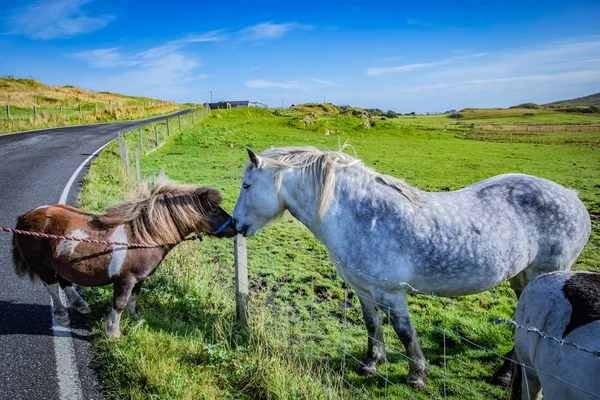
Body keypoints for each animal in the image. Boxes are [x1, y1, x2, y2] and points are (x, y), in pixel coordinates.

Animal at [11, 178, 237, 338]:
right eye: (214, 209)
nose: (236, 226)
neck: (144, 237)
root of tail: (24, 218)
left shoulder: (139, 279)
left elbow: (133, 300)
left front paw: (135, 319)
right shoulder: (126, 279)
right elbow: (119, 303)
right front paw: (113, 332)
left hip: (59, 263)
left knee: (65, 281)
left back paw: (81, 305)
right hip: (41, 267)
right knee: (52, 287)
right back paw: (62, 314)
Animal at [231, 147, 592, 388]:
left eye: (247, 185)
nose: (234, 225)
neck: (358, 215)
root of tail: (573, 198)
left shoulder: (391, 292)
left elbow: (404, 332)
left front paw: (416, 374)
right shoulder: (363, 289)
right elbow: (372, 325)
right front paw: (372, 364)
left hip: (544, 274)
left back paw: (503, 375)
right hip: (521, 277)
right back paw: (503, 373)